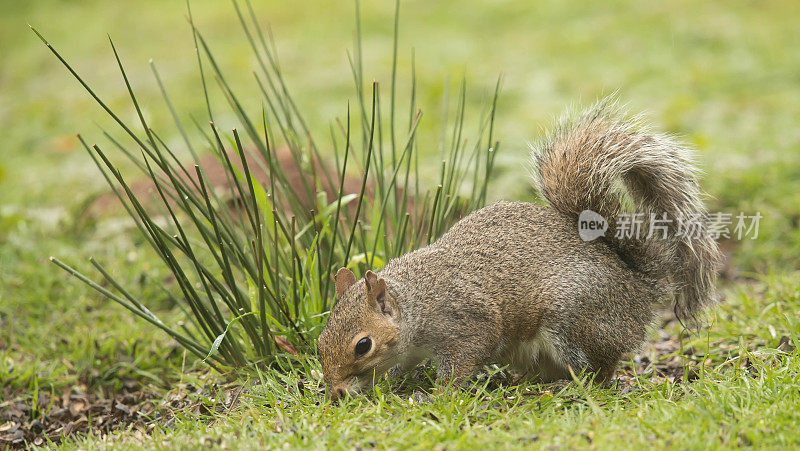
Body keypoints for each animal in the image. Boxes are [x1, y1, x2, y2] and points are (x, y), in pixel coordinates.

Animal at [316, 99, 720, 402]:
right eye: (320, 339)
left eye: (363, 345)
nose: (335, 393)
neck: (415, 303)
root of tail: (637, 285)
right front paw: (392, 385)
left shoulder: (466, 324)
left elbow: (463, 361)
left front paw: (435, 394)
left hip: (573, 318)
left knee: (601, 369)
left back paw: (570, 385)